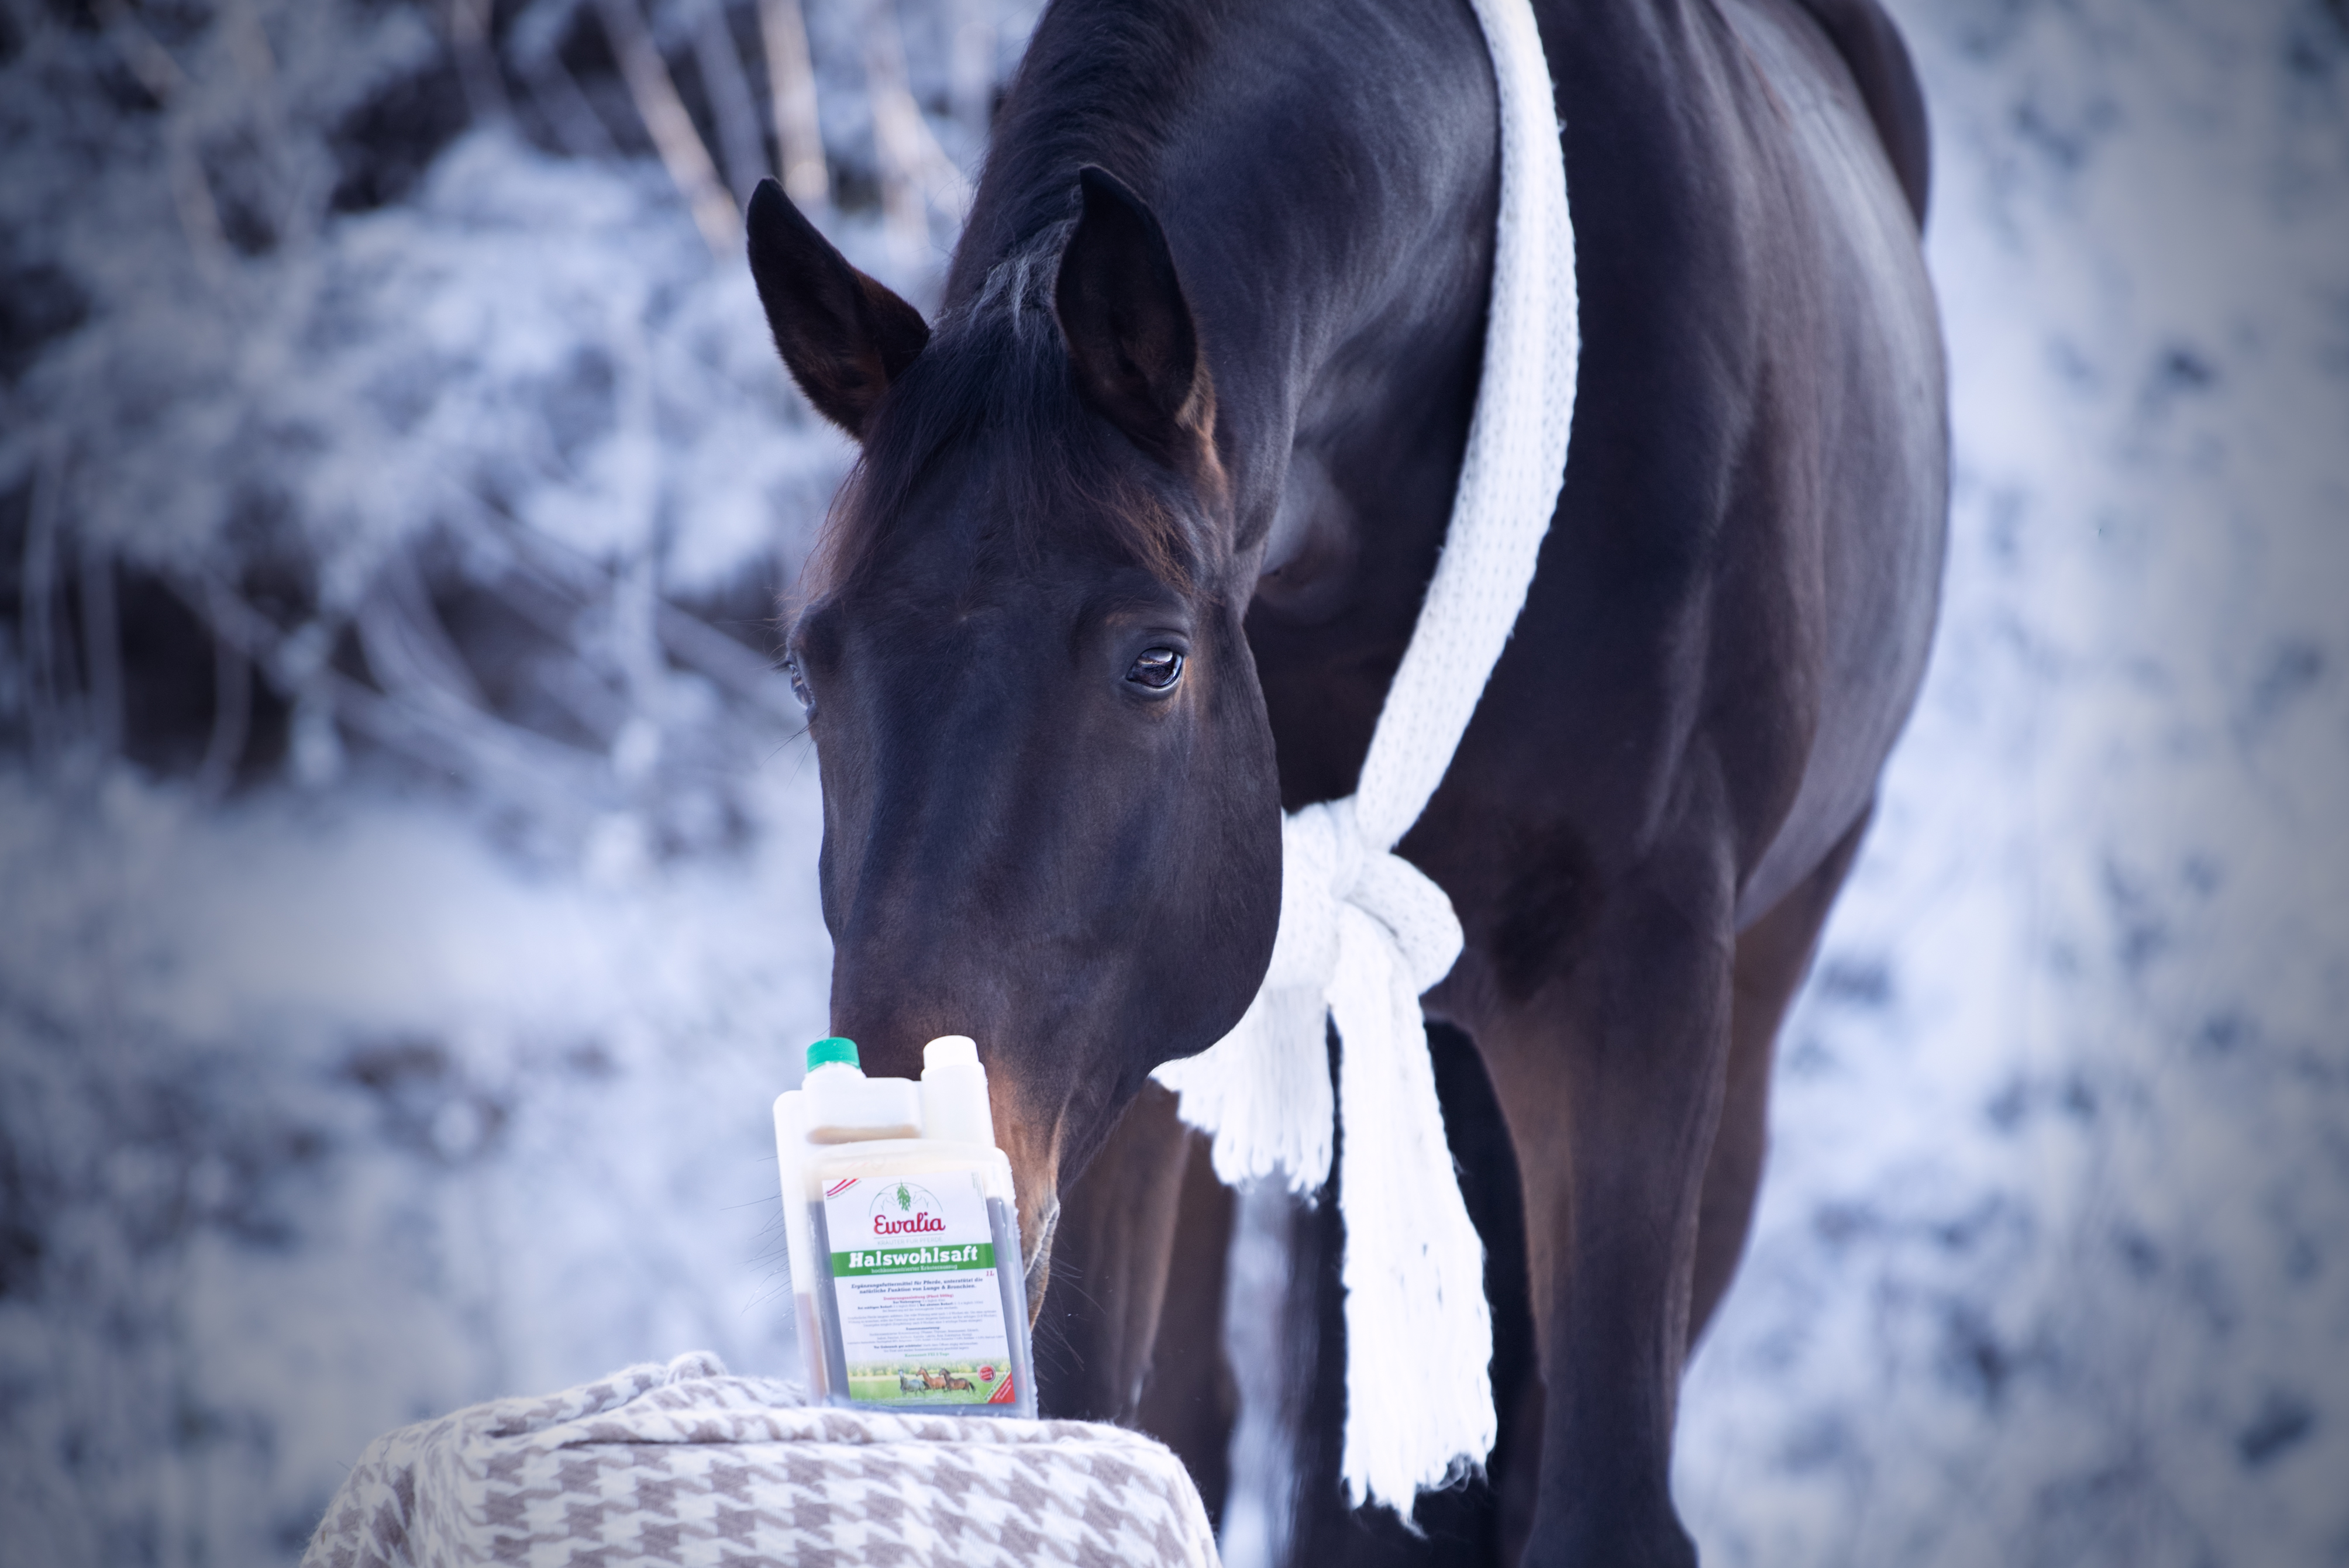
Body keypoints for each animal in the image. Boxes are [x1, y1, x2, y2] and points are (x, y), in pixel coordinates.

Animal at [752, 0, 1945, 1558]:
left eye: (1153, 662)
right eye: (808, 666)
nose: (905, 1131)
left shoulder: (1630, 990)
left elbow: (1601, 1500)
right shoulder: (1112, 1059)